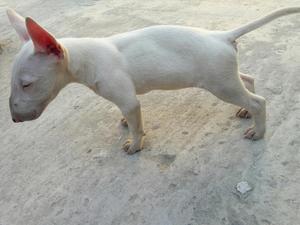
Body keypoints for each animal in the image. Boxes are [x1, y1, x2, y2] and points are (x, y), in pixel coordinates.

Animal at [7, 7, 300, 155]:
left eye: (27, 84)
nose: (14, 120)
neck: (85, 56)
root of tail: (221, 35)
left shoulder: (128, 99)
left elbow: (137, 123)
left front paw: (134, 145)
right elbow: (129, 118)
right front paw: (126, 123)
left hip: (221, 84)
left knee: (258, 101)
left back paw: (257, 131)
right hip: (226, 78)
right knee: (248, 80)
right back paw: (244, 112)